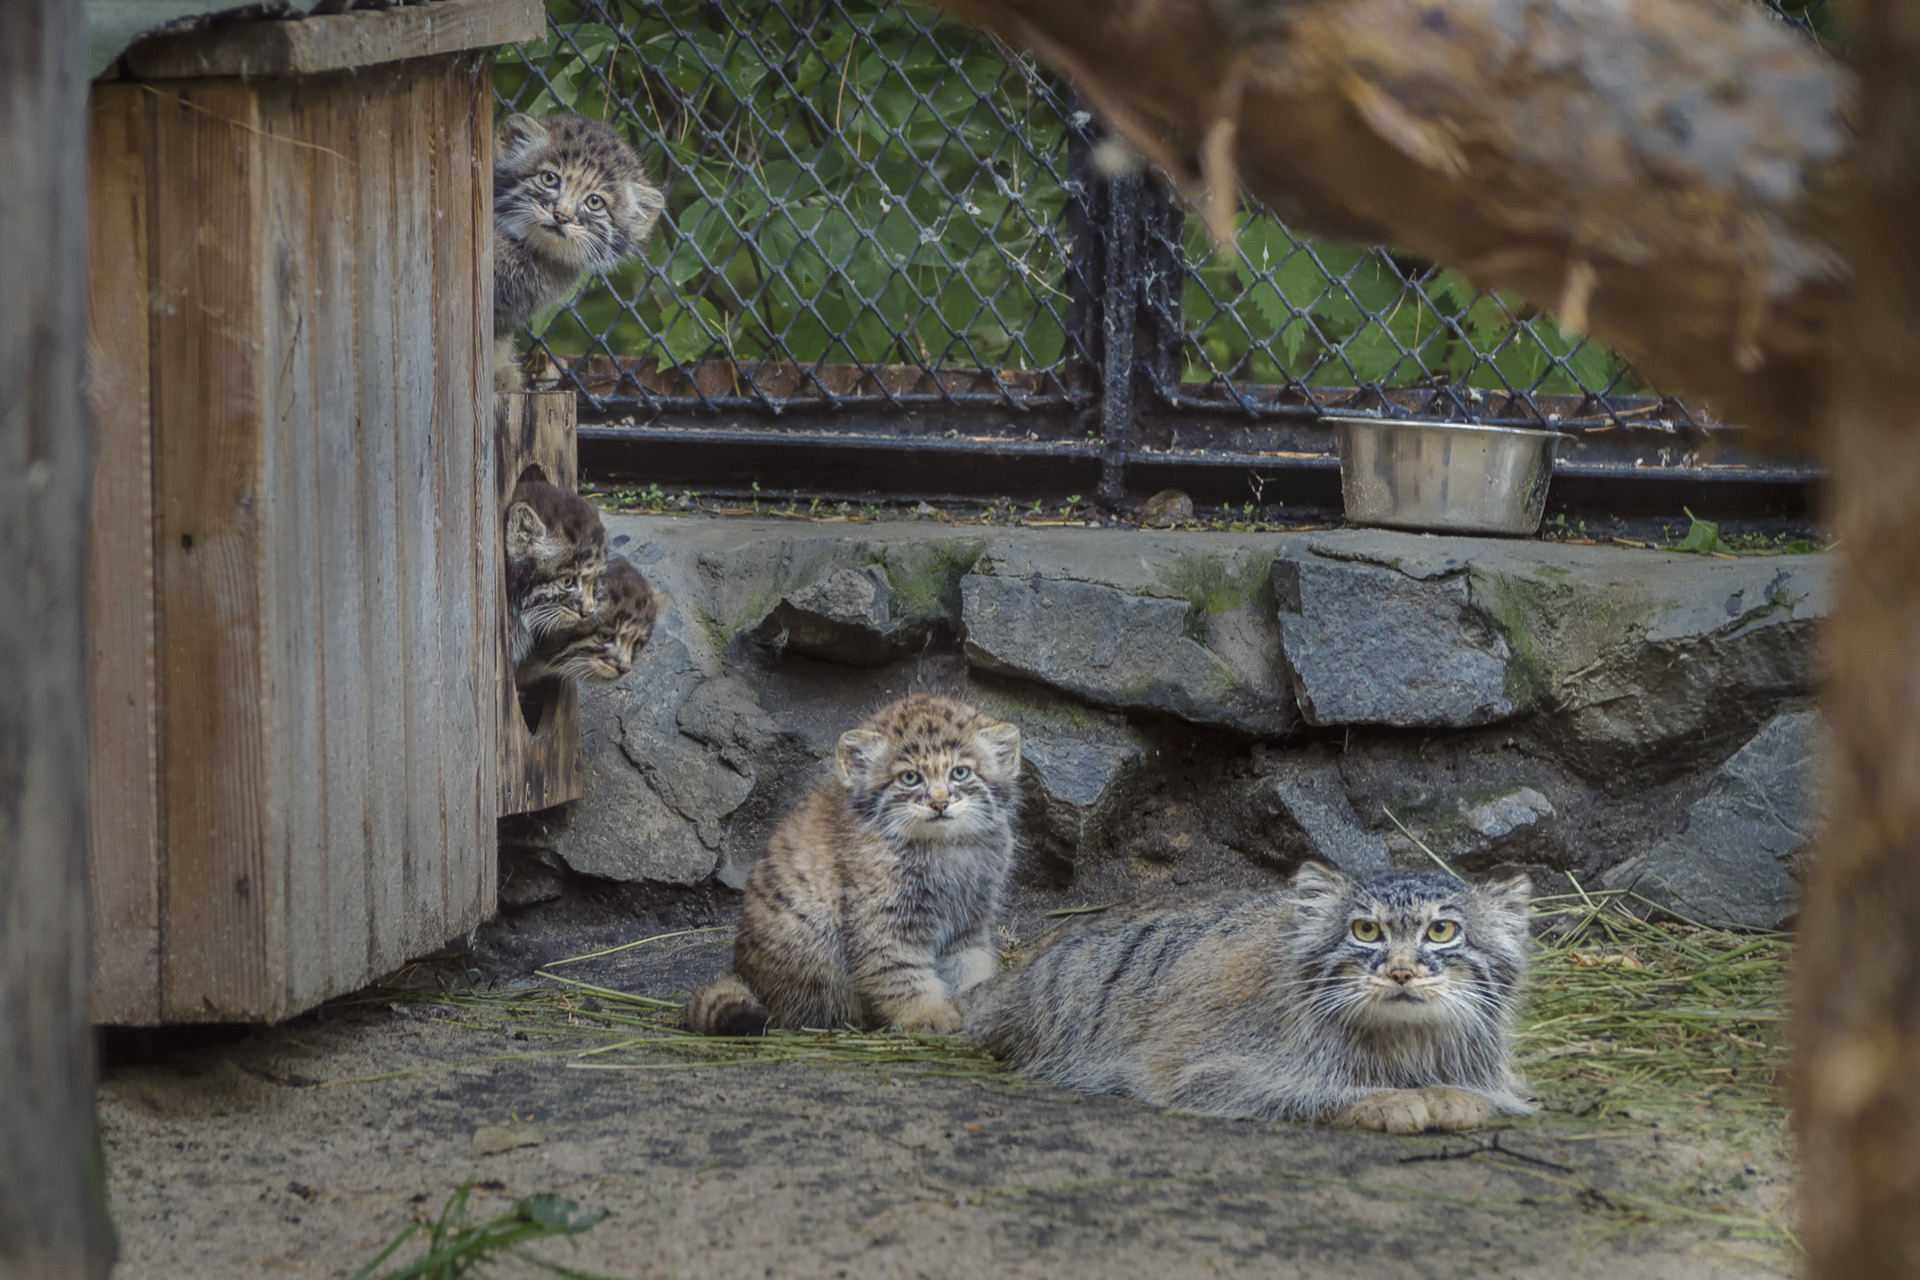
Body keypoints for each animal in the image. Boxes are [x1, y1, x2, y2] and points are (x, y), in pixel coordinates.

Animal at [687, 694, 1029, 1036]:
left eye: (960, 773)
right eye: (909, 777)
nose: (940, 803)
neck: (944, 848)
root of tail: (741, 972)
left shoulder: (970, 918)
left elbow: (969, 963)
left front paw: (977, 997)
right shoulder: (883, 921)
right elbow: (901, 974)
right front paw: (928, 1013)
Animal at [967, 867, 1536, 1136]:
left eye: (1441, 931)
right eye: (1365, 930)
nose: (1400, 971)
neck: (1398, 1042)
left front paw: (1451, 1093)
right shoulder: (1203, 1073)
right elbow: (1301, 1091)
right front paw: (1383, 1100)